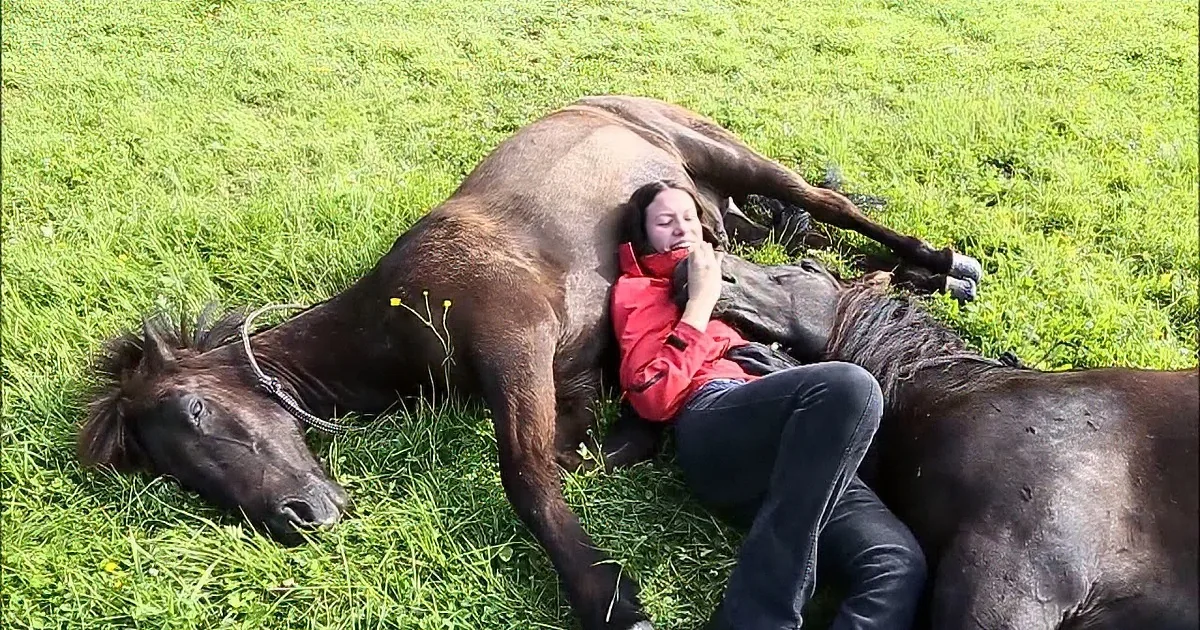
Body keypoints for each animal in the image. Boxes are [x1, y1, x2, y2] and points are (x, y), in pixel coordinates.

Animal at [76, 95, 983, 630]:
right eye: (168, 470)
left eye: (197, 414)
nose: (301, 518)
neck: (399, 318)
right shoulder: (567, 379)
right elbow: (574, 455)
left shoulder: (515, 347)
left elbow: (525, 475)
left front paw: (608, 598)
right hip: (732, 209)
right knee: (803, 231)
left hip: (731, 157)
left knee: (827, 204)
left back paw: (944, 265)